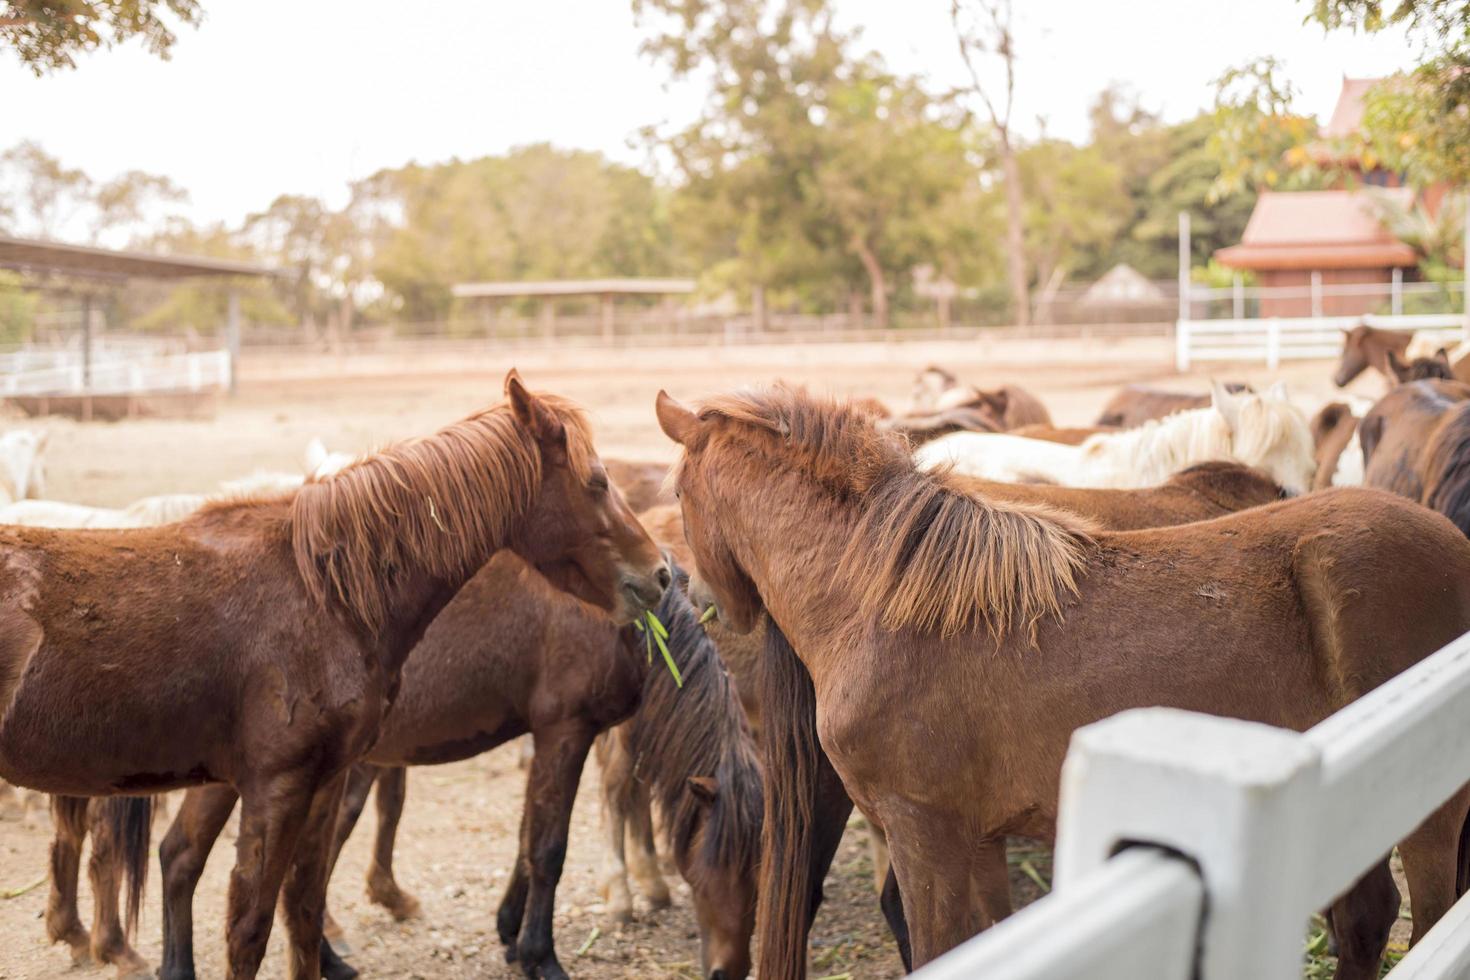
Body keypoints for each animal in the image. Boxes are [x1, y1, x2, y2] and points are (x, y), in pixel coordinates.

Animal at [0, 371, 667, 975]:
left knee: (177, 858)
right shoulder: (278, 788)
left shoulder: (323, 780)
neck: (325, 594)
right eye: (597, 480)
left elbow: (303, 910)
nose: (660, 573)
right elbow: (250, 929)